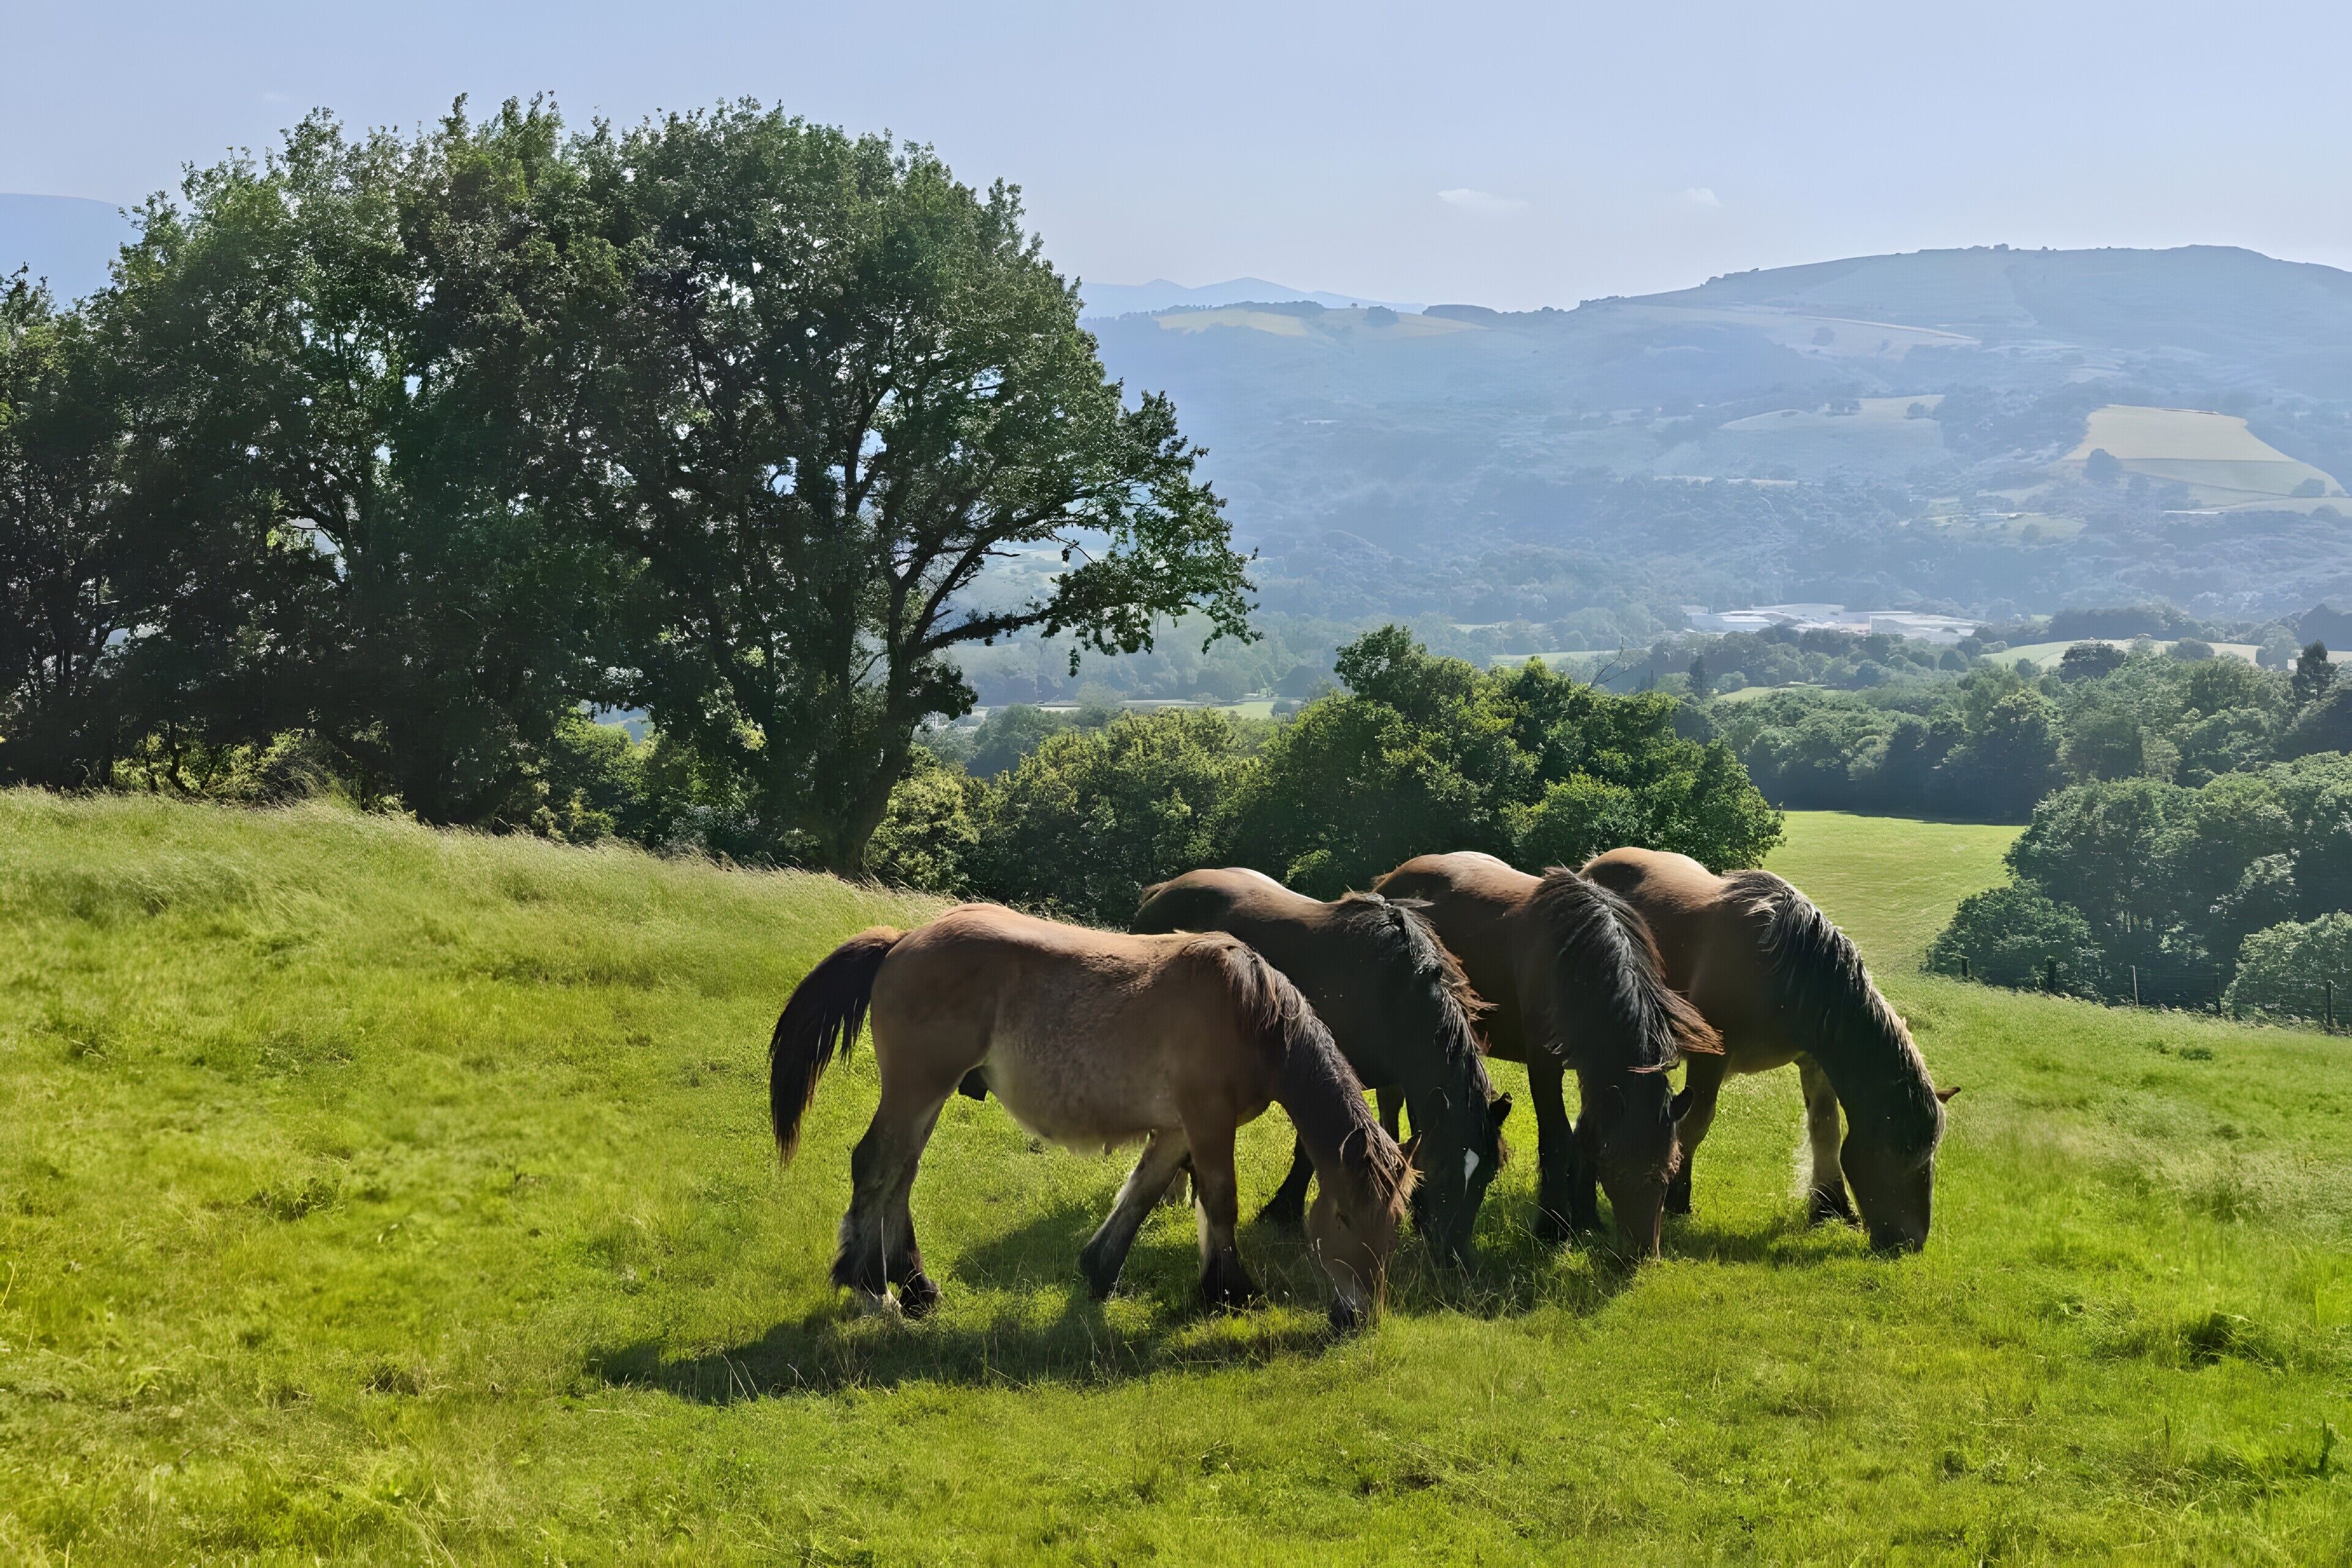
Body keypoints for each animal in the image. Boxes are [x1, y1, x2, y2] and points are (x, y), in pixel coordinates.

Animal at [768, 903, 1418, 1327]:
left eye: (1394, 1224)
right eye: (1346, 1218)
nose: (1359, 1317)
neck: (1252, 1015)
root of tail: (903, 941)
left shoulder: (1177, 1127)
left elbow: (1144, 1193)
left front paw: (1100, 1269)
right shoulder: (1208, 1121)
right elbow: (1220, 1201)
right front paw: (1228, 1292)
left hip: (928, 1094)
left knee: (901, 1175)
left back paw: (917, 1287)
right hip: (917, 1087)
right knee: (877, 1166)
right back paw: (872, 1290)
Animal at [1131, 868, 1511, 1265]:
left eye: (1487, 1175)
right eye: (1446, 1172)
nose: (1454, 1258)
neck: (1393, 992)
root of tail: (1159, 893)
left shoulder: (1399, 1081)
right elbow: (1308, 1153)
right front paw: (1282, 1213)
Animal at [1373, 853, 1720, 1256]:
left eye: (1670, 1168)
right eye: (1618, 1169)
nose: (1644, 1253)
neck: (1579, 960)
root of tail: (1389, 882)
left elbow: (1585, 1134)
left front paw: (1586, 1219)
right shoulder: (1543, 1065)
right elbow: (1557, 1140)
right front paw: (1553, 1226)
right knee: (1392, 1111)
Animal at [1580, 848, 1956, 1252]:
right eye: (1902, 1151)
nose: (1911, 1242)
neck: (1786, 975)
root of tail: (1590, 867)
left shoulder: (1815, 1064)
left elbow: (1825, 1130)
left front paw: (1831, 1207)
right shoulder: (1710, 1060)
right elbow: (1695, 1124)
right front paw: (1677, 1199)